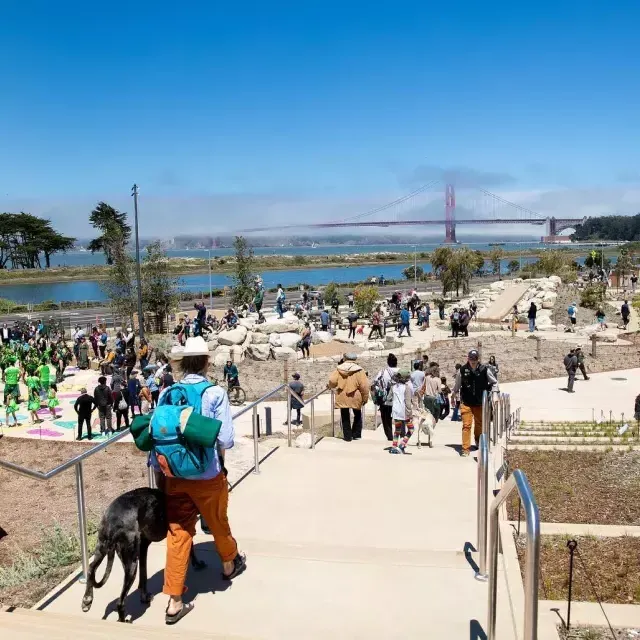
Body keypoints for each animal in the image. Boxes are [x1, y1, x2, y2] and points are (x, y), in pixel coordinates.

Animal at [80, 488, 205, 624]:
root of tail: (113, 522)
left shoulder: (143, 548)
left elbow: (143, 574)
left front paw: (144, 596)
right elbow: (191, 547)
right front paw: (197, 563)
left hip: (102, 548)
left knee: (91, 569)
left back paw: (87, 599)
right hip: (131, 564)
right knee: (120, 603)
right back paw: (122, 621)